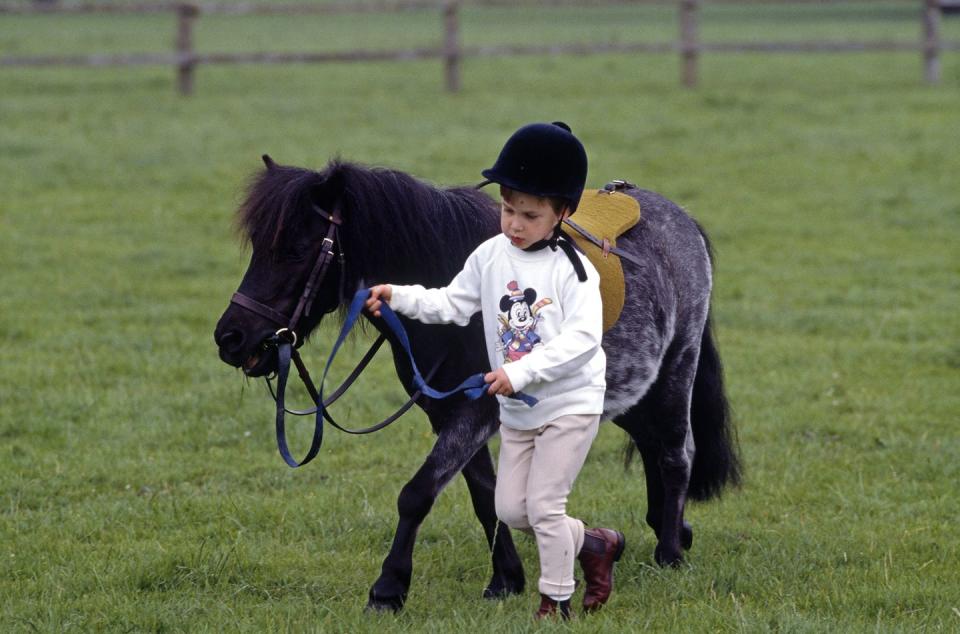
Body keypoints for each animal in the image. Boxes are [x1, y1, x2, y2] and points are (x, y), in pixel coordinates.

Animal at [216, 156, 744, 608]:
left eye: (295, 251)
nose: (230, 338)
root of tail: (681, 219)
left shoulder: (475, 410)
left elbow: (417, 493)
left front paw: (388, 589)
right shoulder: (447, 412)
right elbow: (486, 495)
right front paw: (505, 579)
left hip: (676, 369)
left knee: (675, 453)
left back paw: (670, 554)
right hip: (630, 391)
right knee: (654, 446)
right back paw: (671, 532)